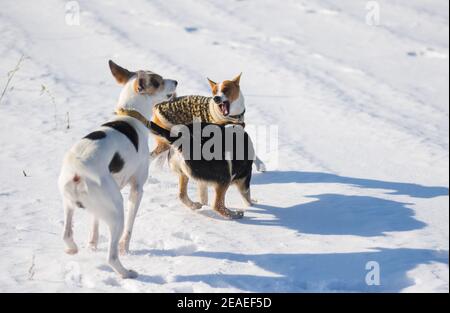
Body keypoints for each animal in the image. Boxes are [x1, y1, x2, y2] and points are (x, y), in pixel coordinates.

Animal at [59, 59, 178, 276]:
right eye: (158, 82)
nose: (176, 81)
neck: (130, 115)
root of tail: (78, 173)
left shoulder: (97, 209)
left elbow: (94, 226)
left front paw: (92, 245)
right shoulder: (137, 188)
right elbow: (129, 228)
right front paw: (126, 248)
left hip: (69, 205)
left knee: (66, 234)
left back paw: (72, 249)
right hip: (117, 211)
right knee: (111, 256)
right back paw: (126, 272)